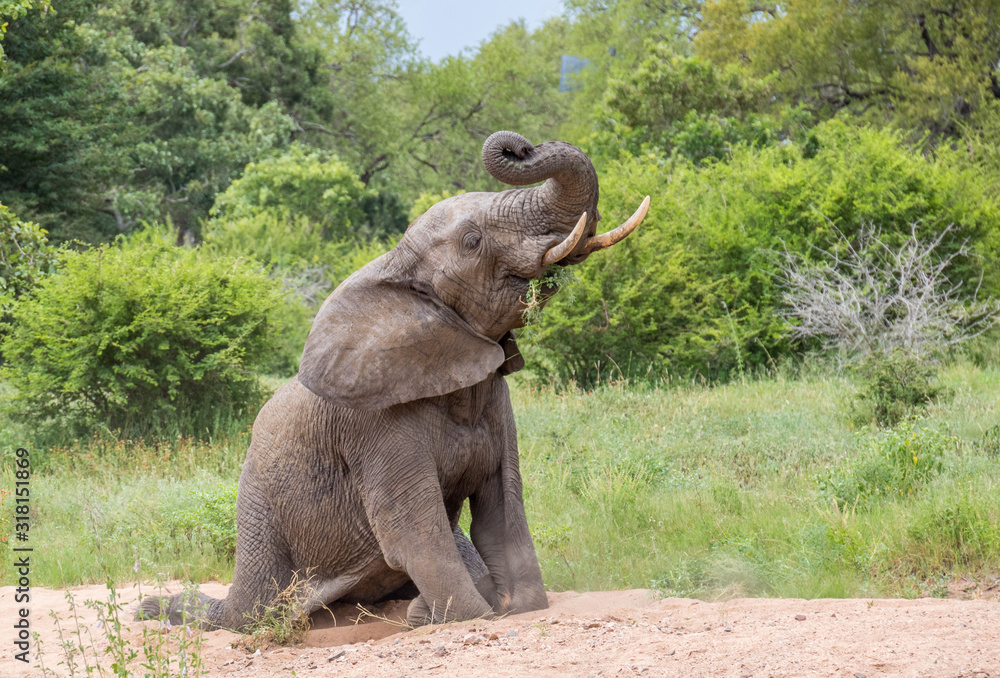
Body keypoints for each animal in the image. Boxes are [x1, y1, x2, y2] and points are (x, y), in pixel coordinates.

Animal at [137, 130, 649, 630]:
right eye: (472, 241)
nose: (521, 147)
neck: (395, 269)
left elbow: (501, 516)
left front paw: (508, 605)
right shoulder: (375, 427)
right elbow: (415, 532)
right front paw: (458, 616)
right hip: (261, 517)